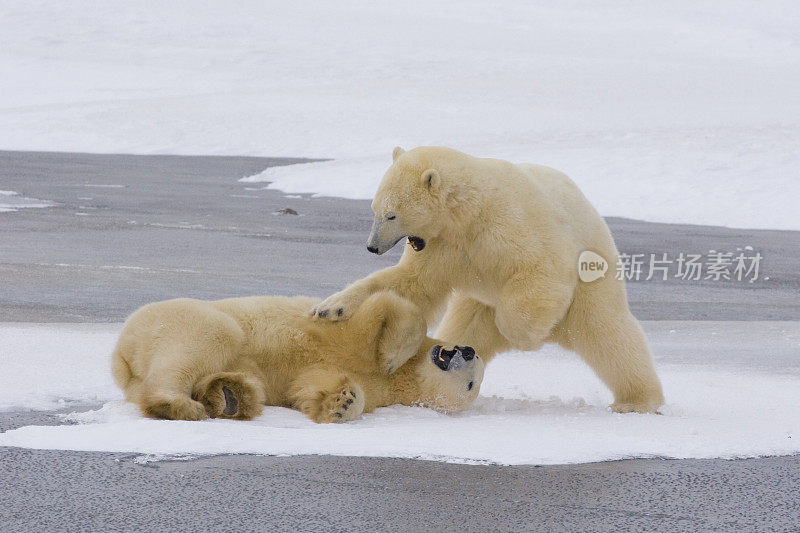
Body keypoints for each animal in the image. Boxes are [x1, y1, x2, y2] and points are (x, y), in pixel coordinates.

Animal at [111, 288, 484, 422]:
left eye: (471, 384)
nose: (467, 349)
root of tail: (122, 360)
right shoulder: (340, 336)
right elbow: (376, 314)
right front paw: (392, 353)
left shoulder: (376, 388)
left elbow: (311, 385)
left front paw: (341, 403)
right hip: (176, 317)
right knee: (214, 334)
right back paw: (180, 404)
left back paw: (232, 396)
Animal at [312, 148, 664, 414]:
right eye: (374, 209)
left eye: (391, 215)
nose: (372, 247)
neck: (468, 212)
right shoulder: (444, 247)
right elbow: (412, 284)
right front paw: (331, 308)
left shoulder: (511, 226)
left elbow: (542, 268)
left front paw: (529, 336)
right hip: (478, 303)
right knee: (462, 331)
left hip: (591, 276)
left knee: (608, 333)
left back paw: (636, 401)